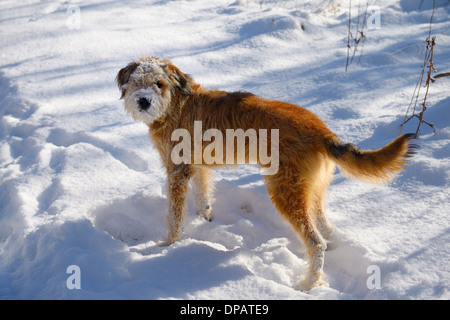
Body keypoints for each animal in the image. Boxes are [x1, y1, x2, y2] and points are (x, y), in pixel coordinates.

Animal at [117, 56, 418, 292]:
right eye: (137, 82)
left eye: (159, 84)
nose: (143, 101)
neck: (175, 105)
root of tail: (322, 131)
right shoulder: (197, 167)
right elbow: (202, 196)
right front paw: (206, 219)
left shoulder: (177, 172)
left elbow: (174, 215)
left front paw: (168, 246)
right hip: (312, 193)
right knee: (326, 231)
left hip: (284, 192)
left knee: (316, 242)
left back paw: (308, 285)